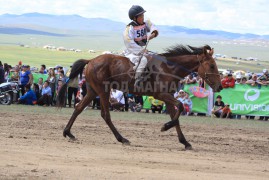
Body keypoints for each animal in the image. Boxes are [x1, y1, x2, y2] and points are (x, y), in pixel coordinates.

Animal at [57, 44, 222, 150]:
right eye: (212, 65)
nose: (220, 87)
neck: (169, 68)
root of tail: (91, 60)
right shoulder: (161, 94)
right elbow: (180, 108)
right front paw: (165, 127)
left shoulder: (167, 96)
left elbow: (176, 116)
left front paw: (184, 142)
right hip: (103, 91)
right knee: (105, 114)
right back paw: (122, 138)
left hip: (92, 91)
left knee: (78, 107)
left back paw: (68, 132)